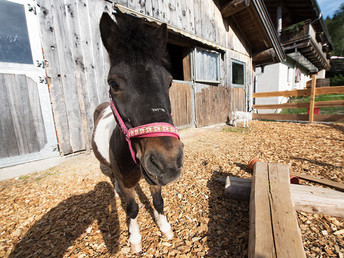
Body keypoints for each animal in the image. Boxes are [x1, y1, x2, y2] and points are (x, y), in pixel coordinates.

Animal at [90, 12, 184, 252]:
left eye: (170, 81)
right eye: (113, 83)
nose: (168, 162)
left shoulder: (154, 178)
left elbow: (158, 202)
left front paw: (165, 227)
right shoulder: (128, 183)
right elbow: (131, 209)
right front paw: (134, 239)